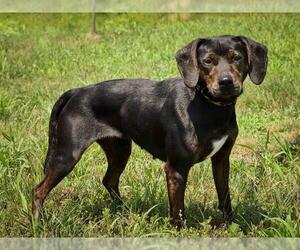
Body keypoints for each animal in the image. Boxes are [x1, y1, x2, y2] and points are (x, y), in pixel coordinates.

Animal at [32, 35, 268, 229]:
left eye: (236, 57)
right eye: (207, 61)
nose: (226, 82)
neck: (208, 104)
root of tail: (76, 91)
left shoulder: (221, 159)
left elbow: (225, 197)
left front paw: (231, 225)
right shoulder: (176, 168)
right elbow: (177, 211)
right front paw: (179, 234)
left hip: (120, 150)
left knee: (109, 180)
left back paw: (125, 212)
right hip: (67, 155)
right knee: (38, 190)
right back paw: (39, 224)